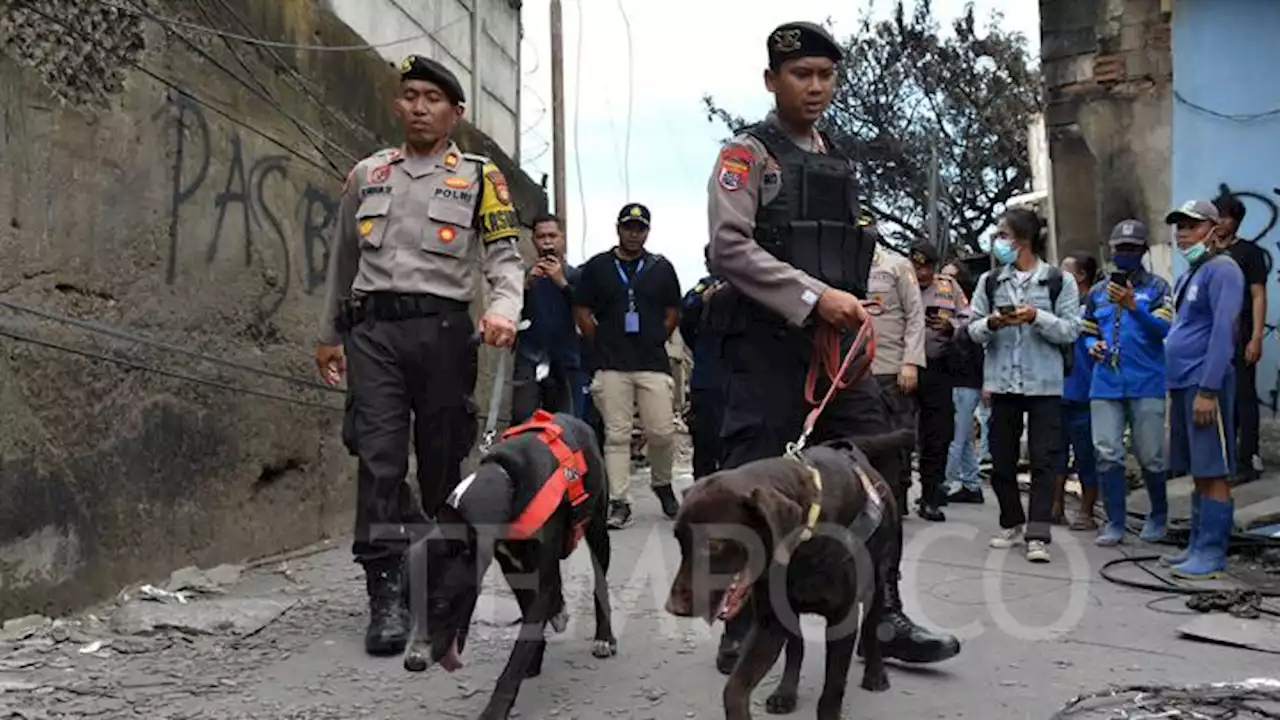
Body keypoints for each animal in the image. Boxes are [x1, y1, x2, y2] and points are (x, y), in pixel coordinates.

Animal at [316, 53, 524, 653]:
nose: (419, 105)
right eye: (414, 93)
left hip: (444, 399)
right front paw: (387, 607)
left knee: (437, 451)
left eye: (434, 96)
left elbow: (503, 256)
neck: (422, 156)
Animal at [401, 409, 616, 717]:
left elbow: (518, 652)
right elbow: (531, 615)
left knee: (600, 584)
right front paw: (534, 659)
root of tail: (570, 416)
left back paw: (604, 636)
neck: (507, 487)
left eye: (440, 604)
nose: (413, 662)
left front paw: (495, 708)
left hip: (598, 530)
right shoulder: (514, 569)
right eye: (406, 603)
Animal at [665, 430, 906, 717]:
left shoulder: (842, 619)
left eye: (714, 544)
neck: (804, 542)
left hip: (878, 581)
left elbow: (833, 689)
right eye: (678, 539)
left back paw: (875, 673)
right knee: (796, 648)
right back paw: (786, 692)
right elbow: (734, 689)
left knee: (871, 628)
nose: (673, 608)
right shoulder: (770, 622)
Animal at [701, 22, 962, 671]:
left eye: (821, 72)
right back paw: (738, 636)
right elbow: (735, 240)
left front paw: (896, 629)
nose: (816, 87)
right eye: (802, 71)